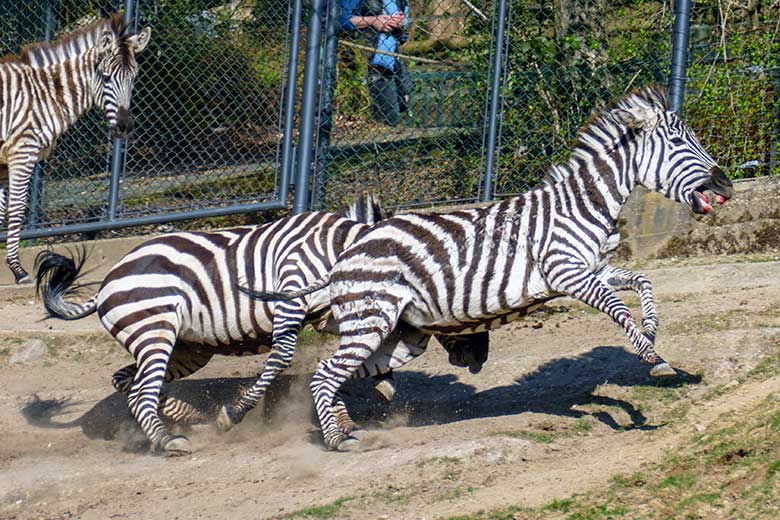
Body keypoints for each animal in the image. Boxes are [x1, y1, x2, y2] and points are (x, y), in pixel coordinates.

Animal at [0, 13, 151, 284]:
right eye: (105, 77)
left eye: (134, 78)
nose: (124, 126)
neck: (45, 96)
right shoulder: (22, 153)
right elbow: (16, 210)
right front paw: (18, 271)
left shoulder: (4, 164)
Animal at [36, 192, 488, 456]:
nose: (480, 358)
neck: (339, 249)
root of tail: (110, 277)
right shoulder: (291, 295)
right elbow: (285, 357)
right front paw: (234, 412)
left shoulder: (326, 313)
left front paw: (370, 392)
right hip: (155, 331)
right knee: (140, 387)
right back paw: (170, 439)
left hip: (187, 347)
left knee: (127, 381)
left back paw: (180, 417)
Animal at [245, 85, 736, 450]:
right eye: (680, 143)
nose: (727, 185)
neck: (583, 205)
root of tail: (346, 254)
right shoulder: (567, 273)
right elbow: (617, 307)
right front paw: (652, 359)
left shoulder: (592, 269)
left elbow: (642, 280)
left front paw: (651, 332)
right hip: (371, 318)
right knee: (326, 373)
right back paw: (335, 438)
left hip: (404, 335)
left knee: (342, 374)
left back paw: (338, 422)